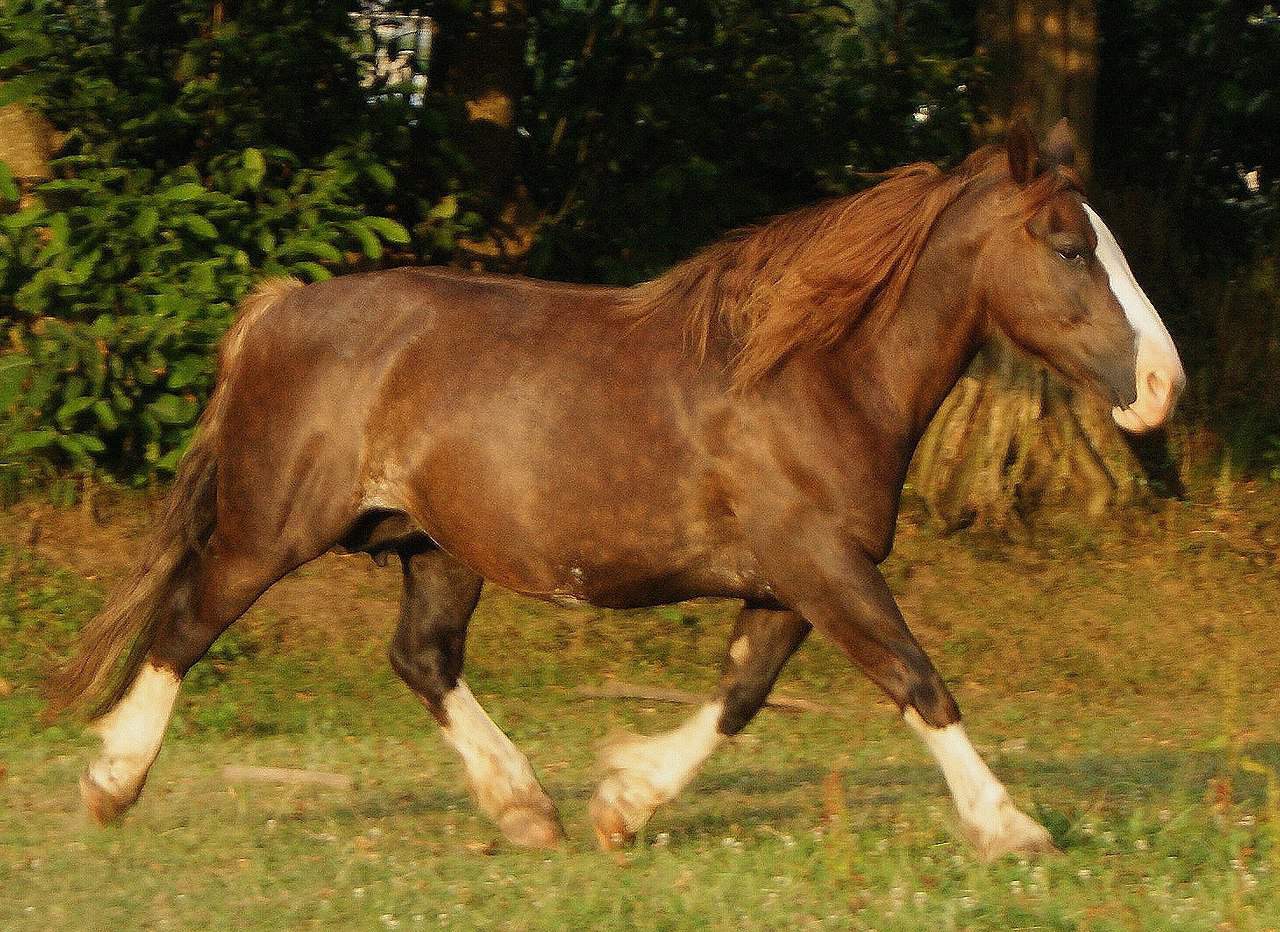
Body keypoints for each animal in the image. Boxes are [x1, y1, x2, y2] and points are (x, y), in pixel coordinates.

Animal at [48, 119, 1183, 860]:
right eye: (1068, 246)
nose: (1161, 386)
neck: (815, 370)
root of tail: (279, 310)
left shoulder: (791, 580)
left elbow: (740, 695)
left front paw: (623, 803)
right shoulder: (820, 564)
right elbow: (916, 678)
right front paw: (1012, 828)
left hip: (434, 547)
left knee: (422, 658)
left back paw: (526, 810)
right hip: (270, 529)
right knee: (186, 621)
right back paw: (109, 785)